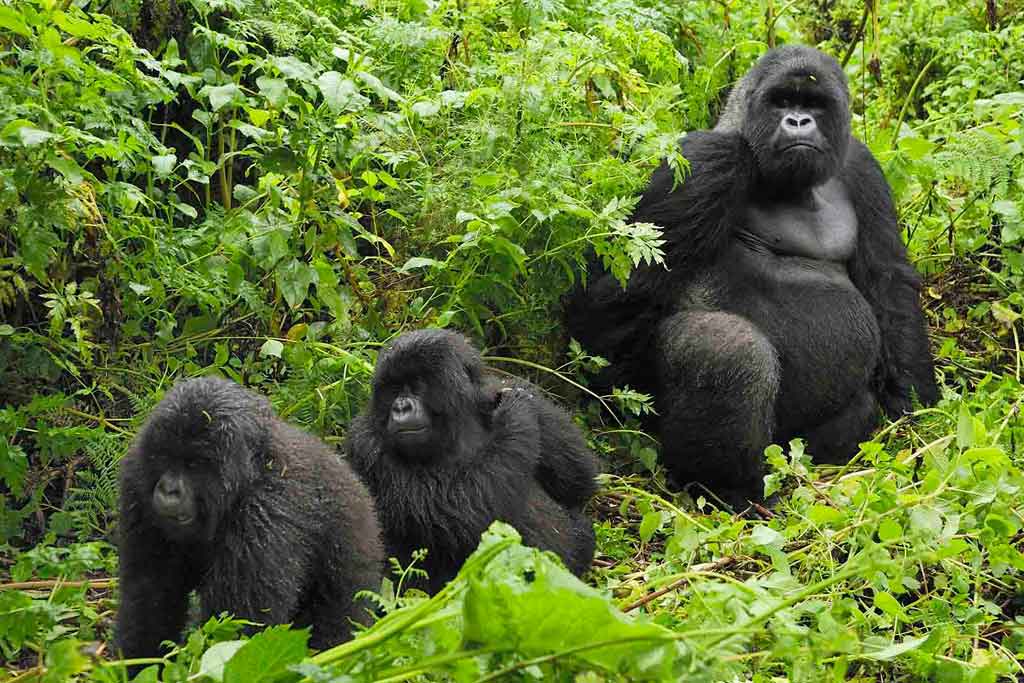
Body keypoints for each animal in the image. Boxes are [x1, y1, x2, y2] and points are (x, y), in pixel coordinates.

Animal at [113, 376, 385, 663]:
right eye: (164, 457)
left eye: (195, 464)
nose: (168, 490)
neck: (250, 469)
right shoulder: (136, 479)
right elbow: (150, 595)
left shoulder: (263, 513)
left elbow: (240, 626)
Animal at [346, 329, 598, 593]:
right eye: (394, 389)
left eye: (417, 386)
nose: (401, 406)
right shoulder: (366, 443)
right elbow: (464, 508)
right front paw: (516, 409)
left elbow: (579, 481)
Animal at [565, 45, 937, 507]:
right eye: (782, 101)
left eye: (815, 104)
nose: (798, 121)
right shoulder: (709, 159)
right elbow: (606, 307)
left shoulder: (861, 164)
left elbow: (888, 284)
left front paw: (916, 408)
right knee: (726, 349)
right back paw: (730, 490)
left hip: (793, 447)